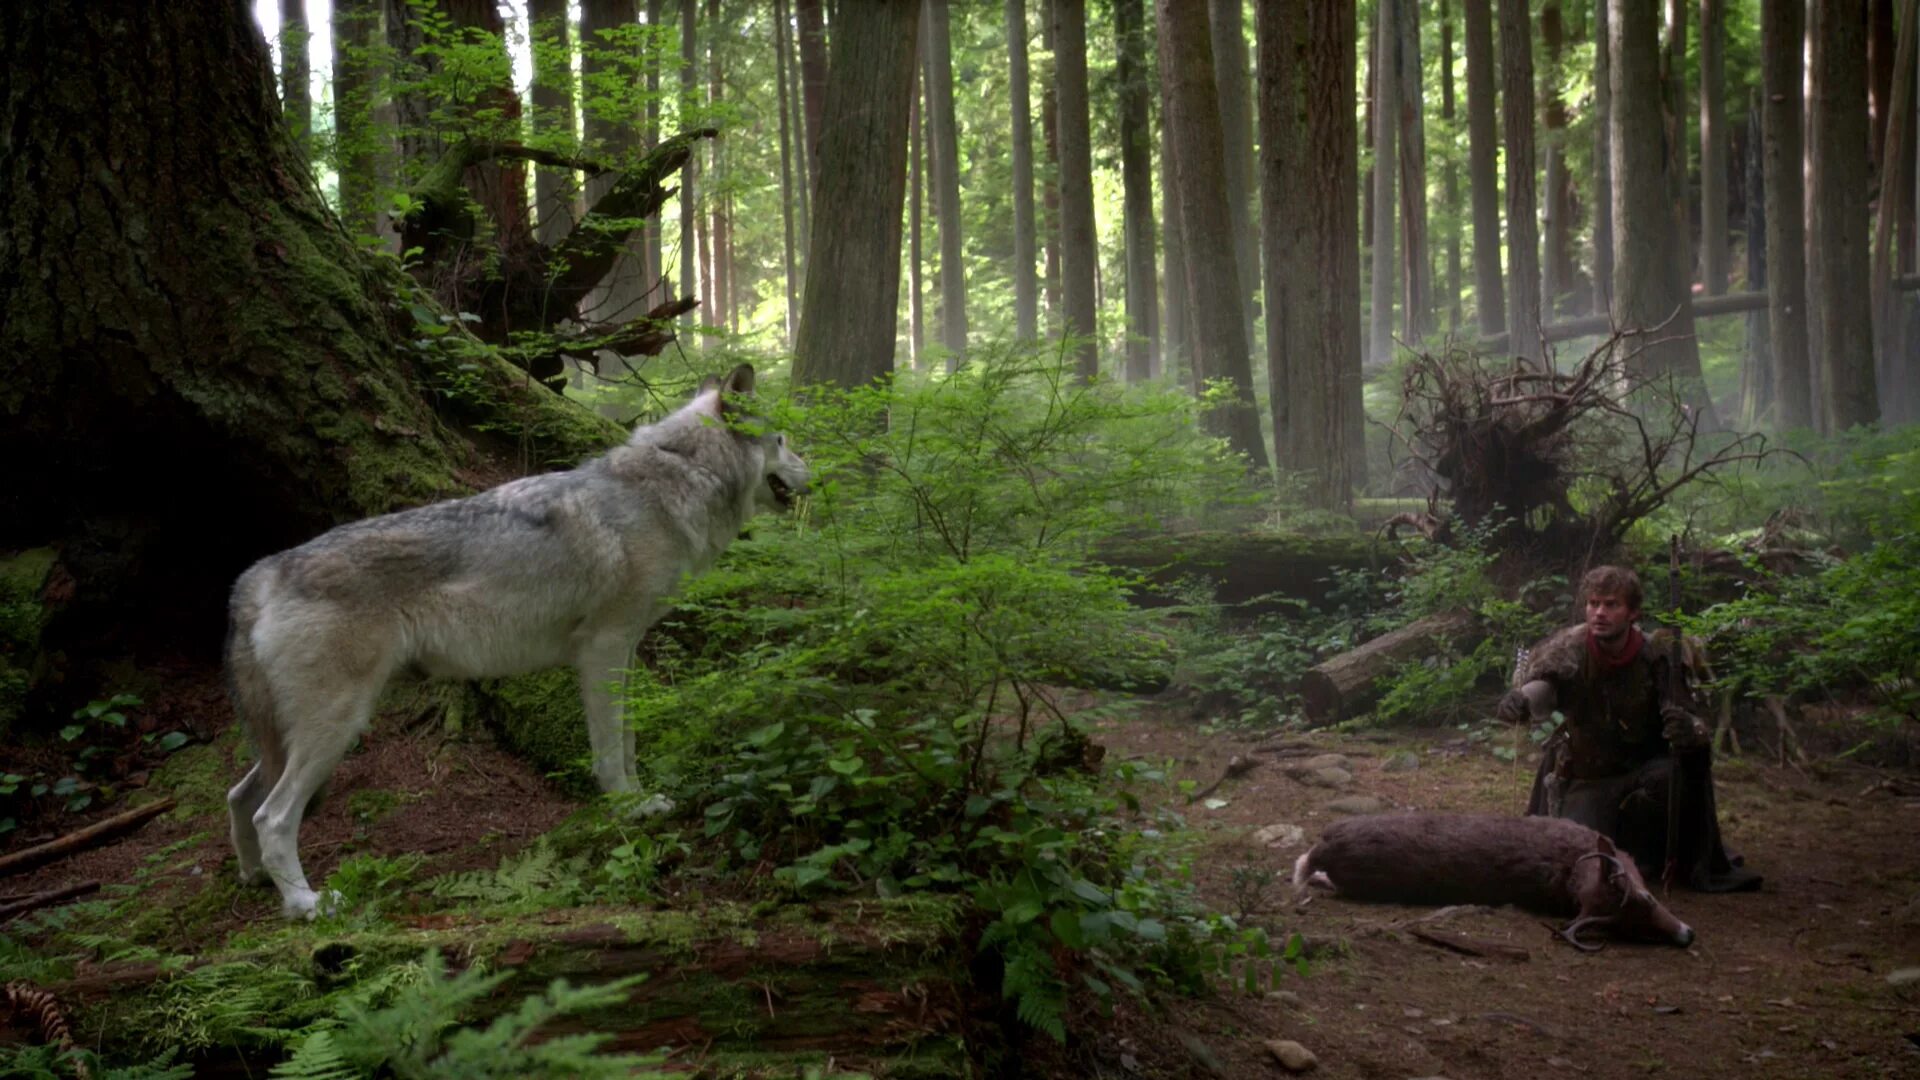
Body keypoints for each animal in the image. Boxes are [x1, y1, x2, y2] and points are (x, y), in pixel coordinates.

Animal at [226, 365, 810, 910]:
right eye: (783, 439)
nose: (814, 470)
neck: (679, 474)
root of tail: (262, 573)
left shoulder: (622, 651)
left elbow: (629, 741)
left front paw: (644, 797)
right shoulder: (603, 647)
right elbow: (609, 751)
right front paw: (628, 808)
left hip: (302, 730)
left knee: (239, 796)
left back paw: (255, 879)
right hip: (339, 725)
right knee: (271, 815)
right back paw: (306, 904)